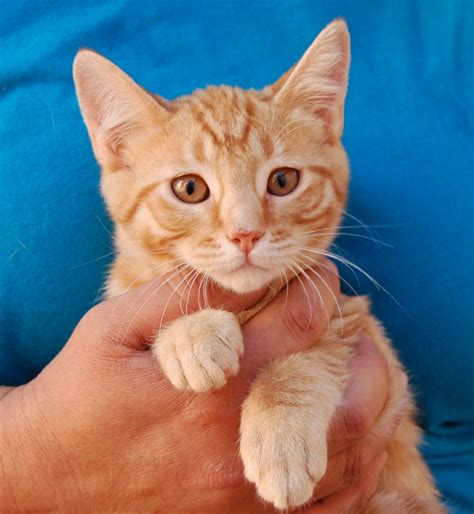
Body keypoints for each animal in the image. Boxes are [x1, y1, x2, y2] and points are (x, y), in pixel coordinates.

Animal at [73, 20, 444, 512]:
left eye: (283, 181)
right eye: (189, 188)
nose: (245, 234)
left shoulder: (362, 331)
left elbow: (313, 354)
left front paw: (280, 440)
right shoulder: (124, 293)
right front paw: (192, 334)